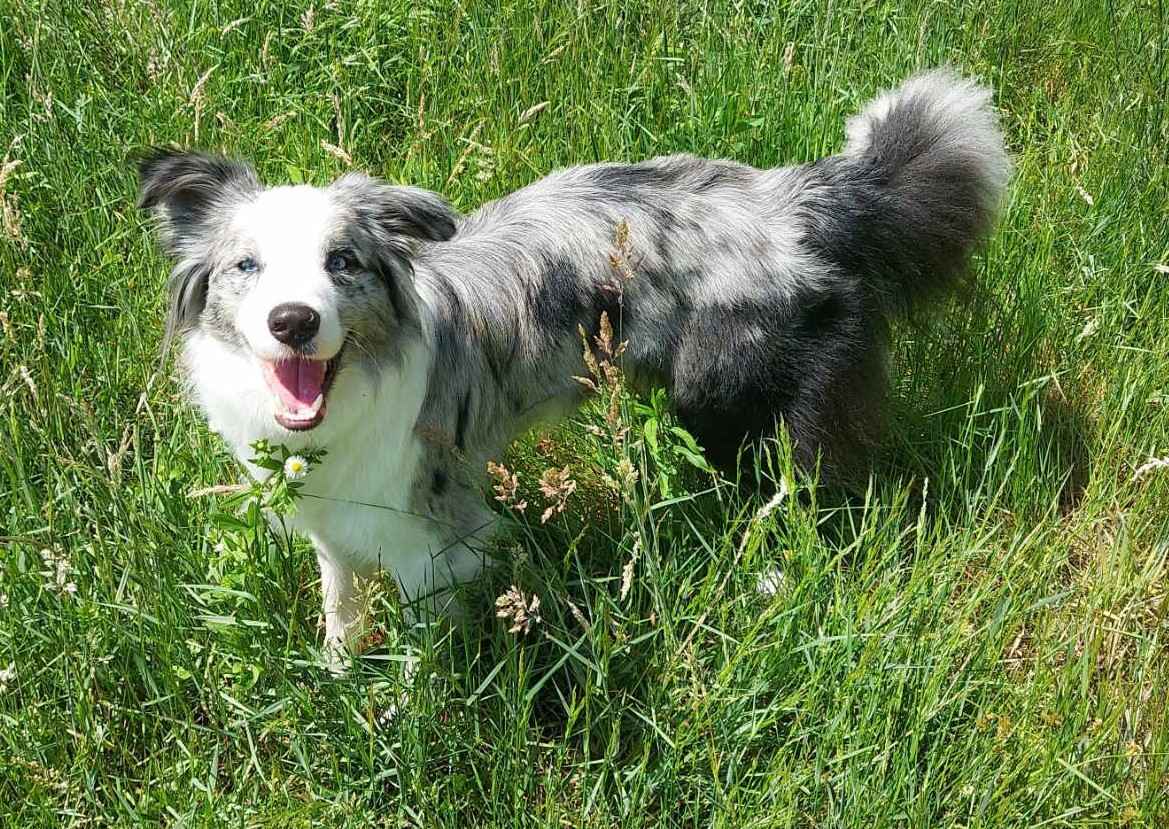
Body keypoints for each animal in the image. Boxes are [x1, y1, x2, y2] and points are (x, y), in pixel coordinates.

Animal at [141, 67, 1010, 668]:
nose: (293, 322)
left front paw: (407, 718)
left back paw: (772, 578)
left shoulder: (432, 534)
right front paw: (337, 671)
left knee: (810, 499)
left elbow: (422, 650)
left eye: (341, 262)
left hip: (743, 408)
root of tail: (804, 198)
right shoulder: (336, 521)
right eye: (246, 267)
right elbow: (339, 598)